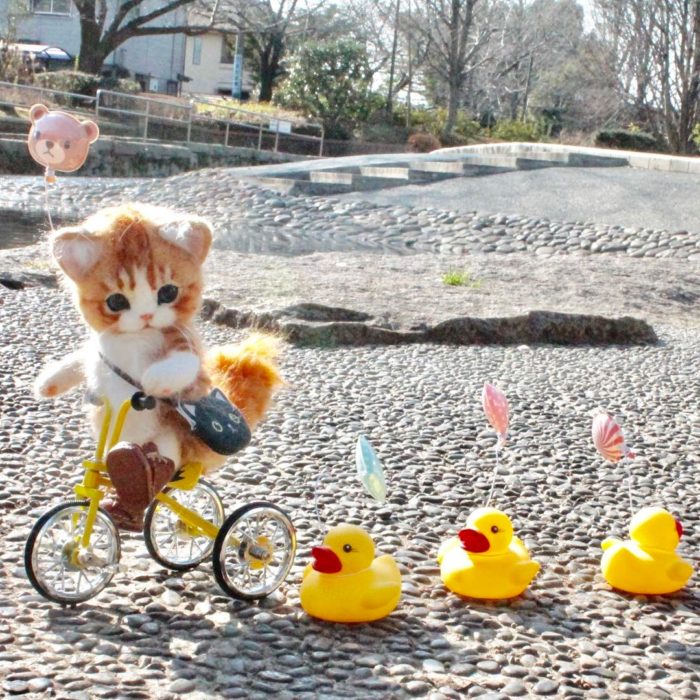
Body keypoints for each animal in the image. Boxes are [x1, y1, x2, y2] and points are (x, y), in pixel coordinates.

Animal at [34, 202, 282, 532]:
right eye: (116, 302)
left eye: (168, 292)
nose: (146, 316)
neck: (136, 338)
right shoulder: (97, 352)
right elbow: (81, 357)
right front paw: (47, 383)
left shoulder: (184, 347)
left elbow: (185, 366)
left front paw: (153, 381)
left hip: (169, 443)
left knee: (162, 471)